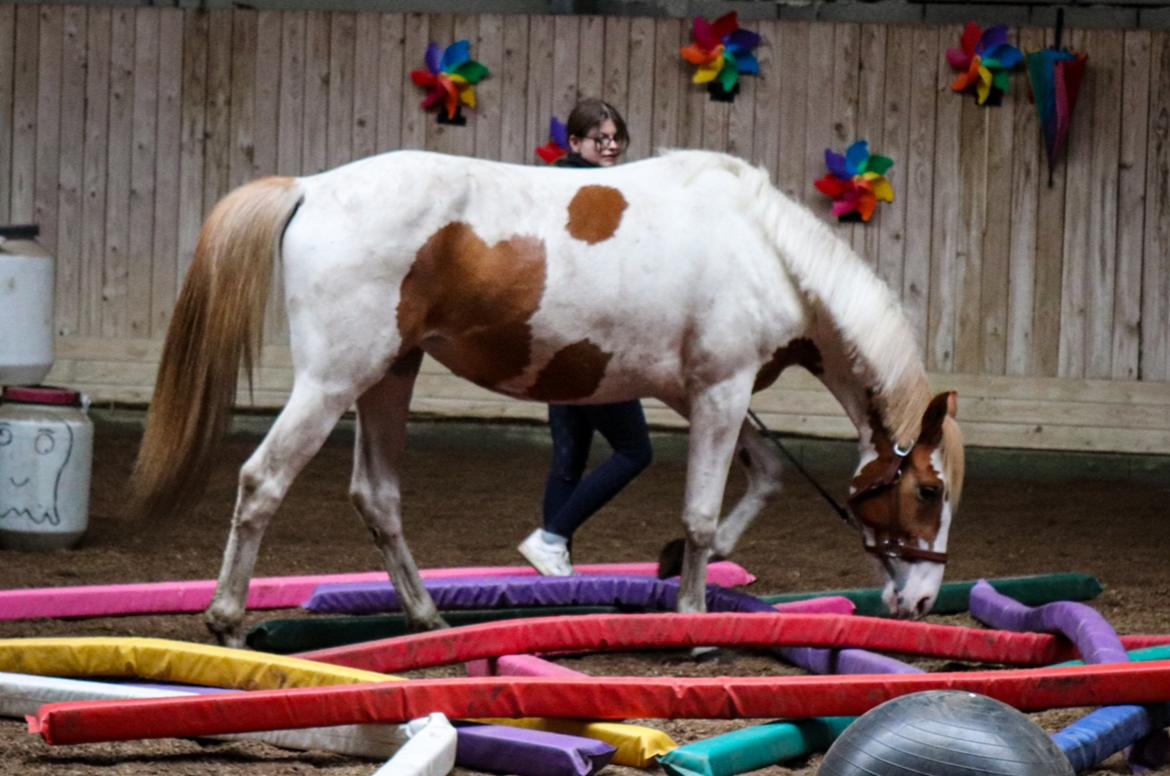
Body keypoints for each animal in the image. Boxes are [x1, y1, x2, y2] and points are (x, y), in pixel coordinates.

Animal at [132, 148, 964, 646]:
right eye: (928, 490)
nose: (924, 599)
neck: (767, 249)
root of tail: (310, 189)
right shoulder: (722, 391)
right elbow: (700, 514)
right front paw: (694, 621)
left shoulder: (702, 396)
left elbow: (765, 475)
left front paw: (681, 571)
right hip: (334, 381)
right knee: (263, 481)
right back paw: (228, 619)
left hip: (389, 377)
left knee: (377, 498)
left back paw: (428, 617)